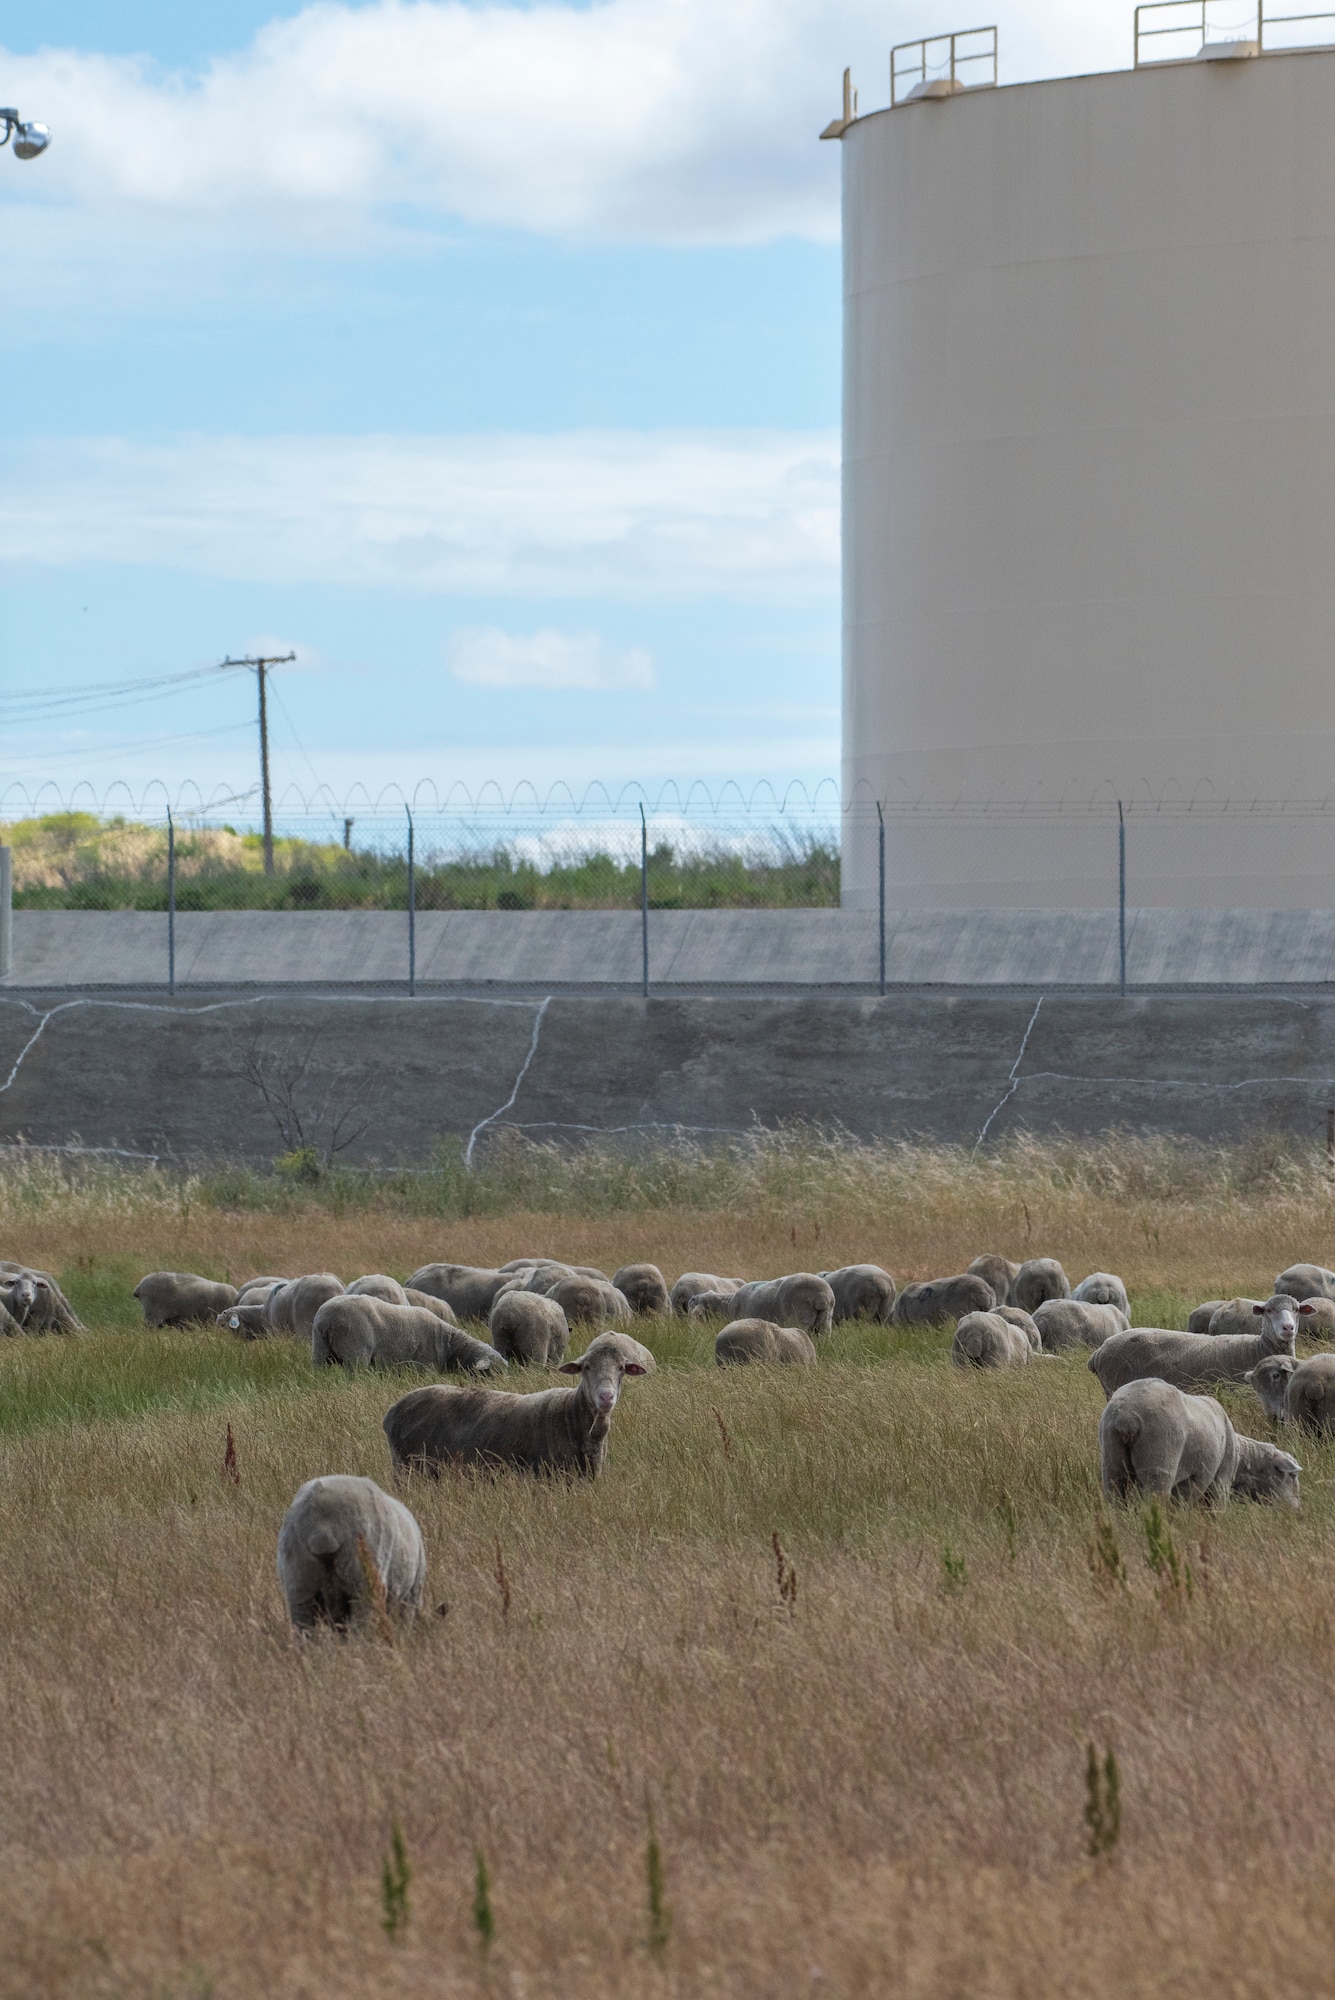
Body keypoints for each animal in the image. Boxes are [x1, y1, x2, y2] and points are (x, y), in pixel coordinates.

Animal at [277, 1480, 427, 1632]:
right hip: (363, 1582)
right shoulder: (411, 1595)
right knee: (362, 1627)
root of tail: (323, 1529)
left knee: (303, 1626)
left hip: (299, 1583)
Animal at [309, 1296, 507, 1376]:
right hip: (355, 1349)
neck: (450, 1345)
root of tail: (327, 1320)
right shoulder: (424, 1367)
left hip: (320, 1349)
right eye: (492, 1372)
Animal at [383, 1328, 655, 1488]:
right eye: (586, 1367)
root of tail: (394, 1410)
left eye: (621, 1368)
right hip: (408, 1470)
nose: (606, 1396)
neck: (571, 1414)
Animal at [1103, 1384, 1295, 1504]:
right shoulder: (1220, 1480)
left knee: (1114, 1494)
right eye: (1292, 1476)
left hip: (1111, 1458)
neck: (1242, 1458)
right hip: (1159, 1460)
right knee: (1154, 1497)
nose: (1296, 1510)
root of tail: (1127, 1417)